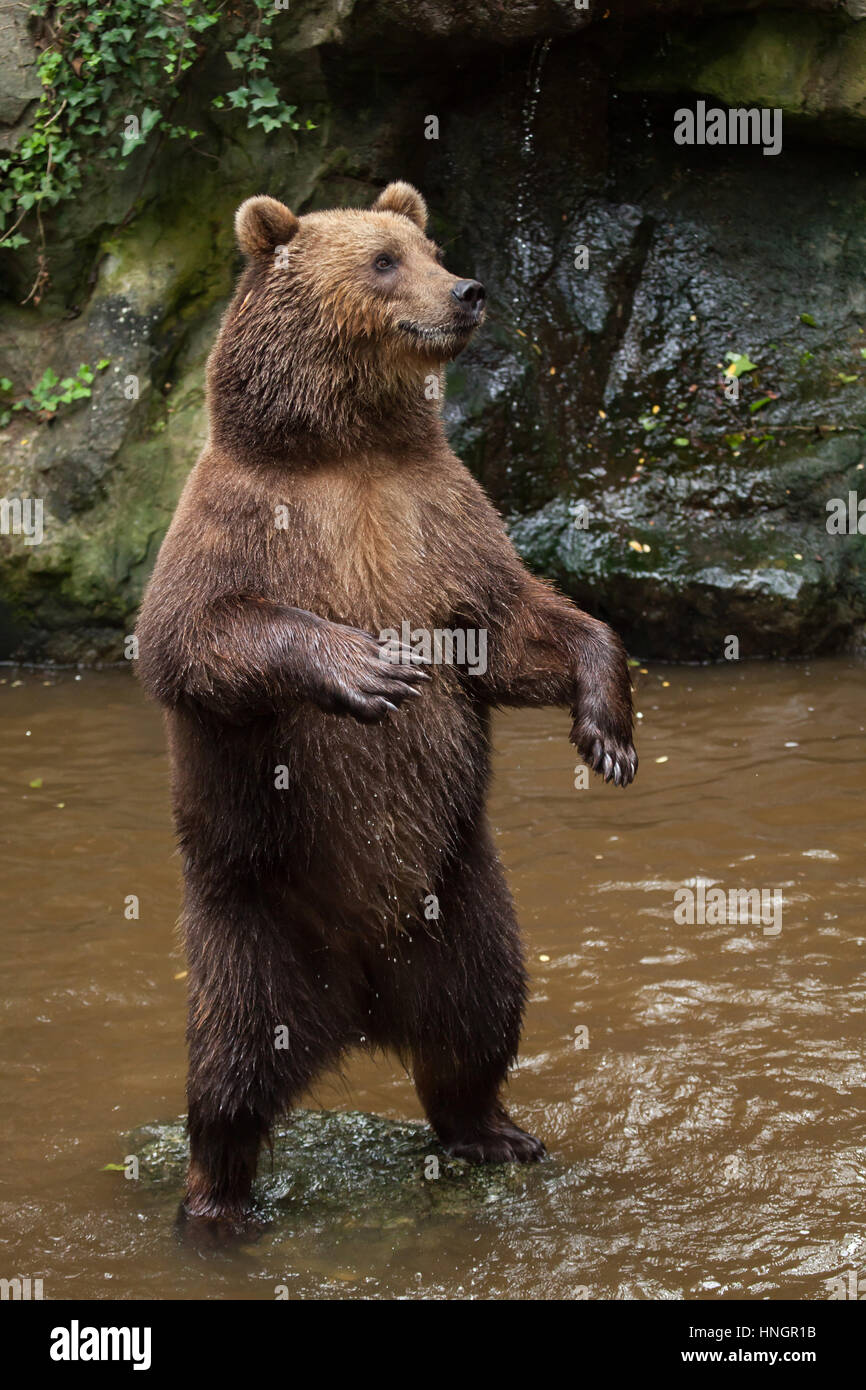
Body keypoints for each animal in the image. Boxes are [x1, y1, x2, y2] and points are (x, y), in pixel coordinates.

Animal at [135, 180, 637, 1237]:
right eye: (380, 260)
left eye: (430, 247)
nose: (470, 290)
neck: (351, 451)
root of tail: (359, 1006)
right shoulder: (238, 523)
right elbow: (193, 636)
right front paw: (371, 671)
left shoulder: (443, 523)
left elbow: (516, 627)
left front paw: (606, 731)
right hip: (253, 913)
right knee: (231, 1064)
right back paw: (216, 1201)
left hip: (460, 904)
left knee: (482, 1014)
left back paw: (490, 1129)